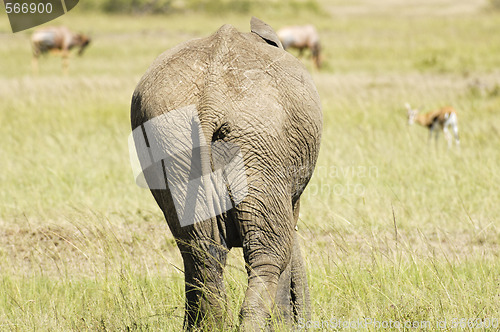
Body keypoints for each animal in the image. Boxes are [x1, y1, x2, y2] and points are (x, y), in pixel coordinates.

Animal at [129, 17, 322, 330]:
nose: (301, 318)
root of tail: (211, 99)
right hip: (262, 146)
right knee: (267, 252)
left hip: (175, 145)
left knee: (200, 251)